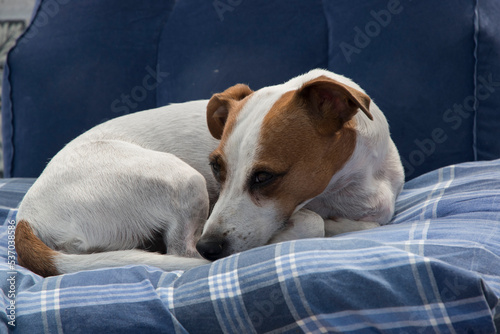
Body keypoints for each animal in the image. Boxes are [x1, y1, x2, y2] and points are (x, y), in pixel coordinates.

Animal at [14, 68, 406, 276]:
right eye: (216, 167)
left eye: (265, 176)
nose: (211, 245)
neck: (346, 188)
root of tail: (26, 216)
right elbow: (314, 222)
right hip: (182, 178)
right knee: (183, 252)